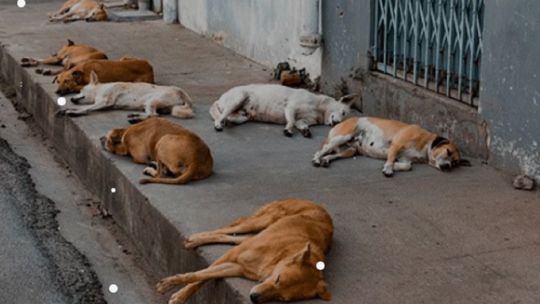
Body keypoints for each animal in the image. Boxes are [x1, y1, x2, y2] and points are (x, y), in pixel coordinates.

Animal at [58, 71, 194, 123]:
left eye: (81, 90)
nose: (71, 99)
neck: (100, 89)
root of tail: (180, 92)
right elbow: (83, 108)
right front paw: (67, 109)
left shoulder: (104, 102)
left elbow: (85, 108)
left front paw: (73, 112)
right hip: (151, 104)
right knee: (153, 114)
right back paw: (136, 115)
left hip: (151, 101)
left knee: (154, 115)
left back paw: (136, 118)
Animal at [156, 198, 334, 304]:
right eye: (278, 279)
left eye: (282, 298)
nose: (253, 298)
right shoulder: (231, 256)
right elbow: (197, 276)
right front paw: (175, 291)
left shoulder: (238, 267)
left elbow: (204, 276)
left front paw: (178, 292)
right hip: (260, 222)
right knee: (230, 228)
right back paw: (195, 238)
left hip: (257, 232)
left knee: (234, 237)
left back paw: (195, 240)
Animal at [211, 83, 358, 137]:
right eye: (343, 112)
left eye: (344, 118)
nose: (337, 123)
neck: (319, 109)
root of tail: (219, 99)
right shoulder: (291, 107)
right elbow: (291, 121)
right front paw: (288, 129)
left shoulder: (302, 120)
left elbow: (300, 124)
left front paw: (305, 131)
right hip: (238, 98)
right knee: (221, 116)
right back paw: (218, 124)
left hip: (243, 116)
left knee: (228, 116)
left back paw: (225, 121)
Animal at [312, 117, 472, 178]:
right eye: (448, 151)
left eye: (455, 163)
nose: (447, 166)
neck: (425, 144)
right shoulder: (396, 145)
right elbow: (391, 159)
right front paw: (388, 168)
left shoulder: (405, 160)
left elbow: (407, 166)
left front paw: (392, 166)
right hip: (343, 136)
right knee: (322, 150)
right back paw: (317, 159)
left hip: (350, 150)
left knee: (332, 154)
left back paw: (326, 160)